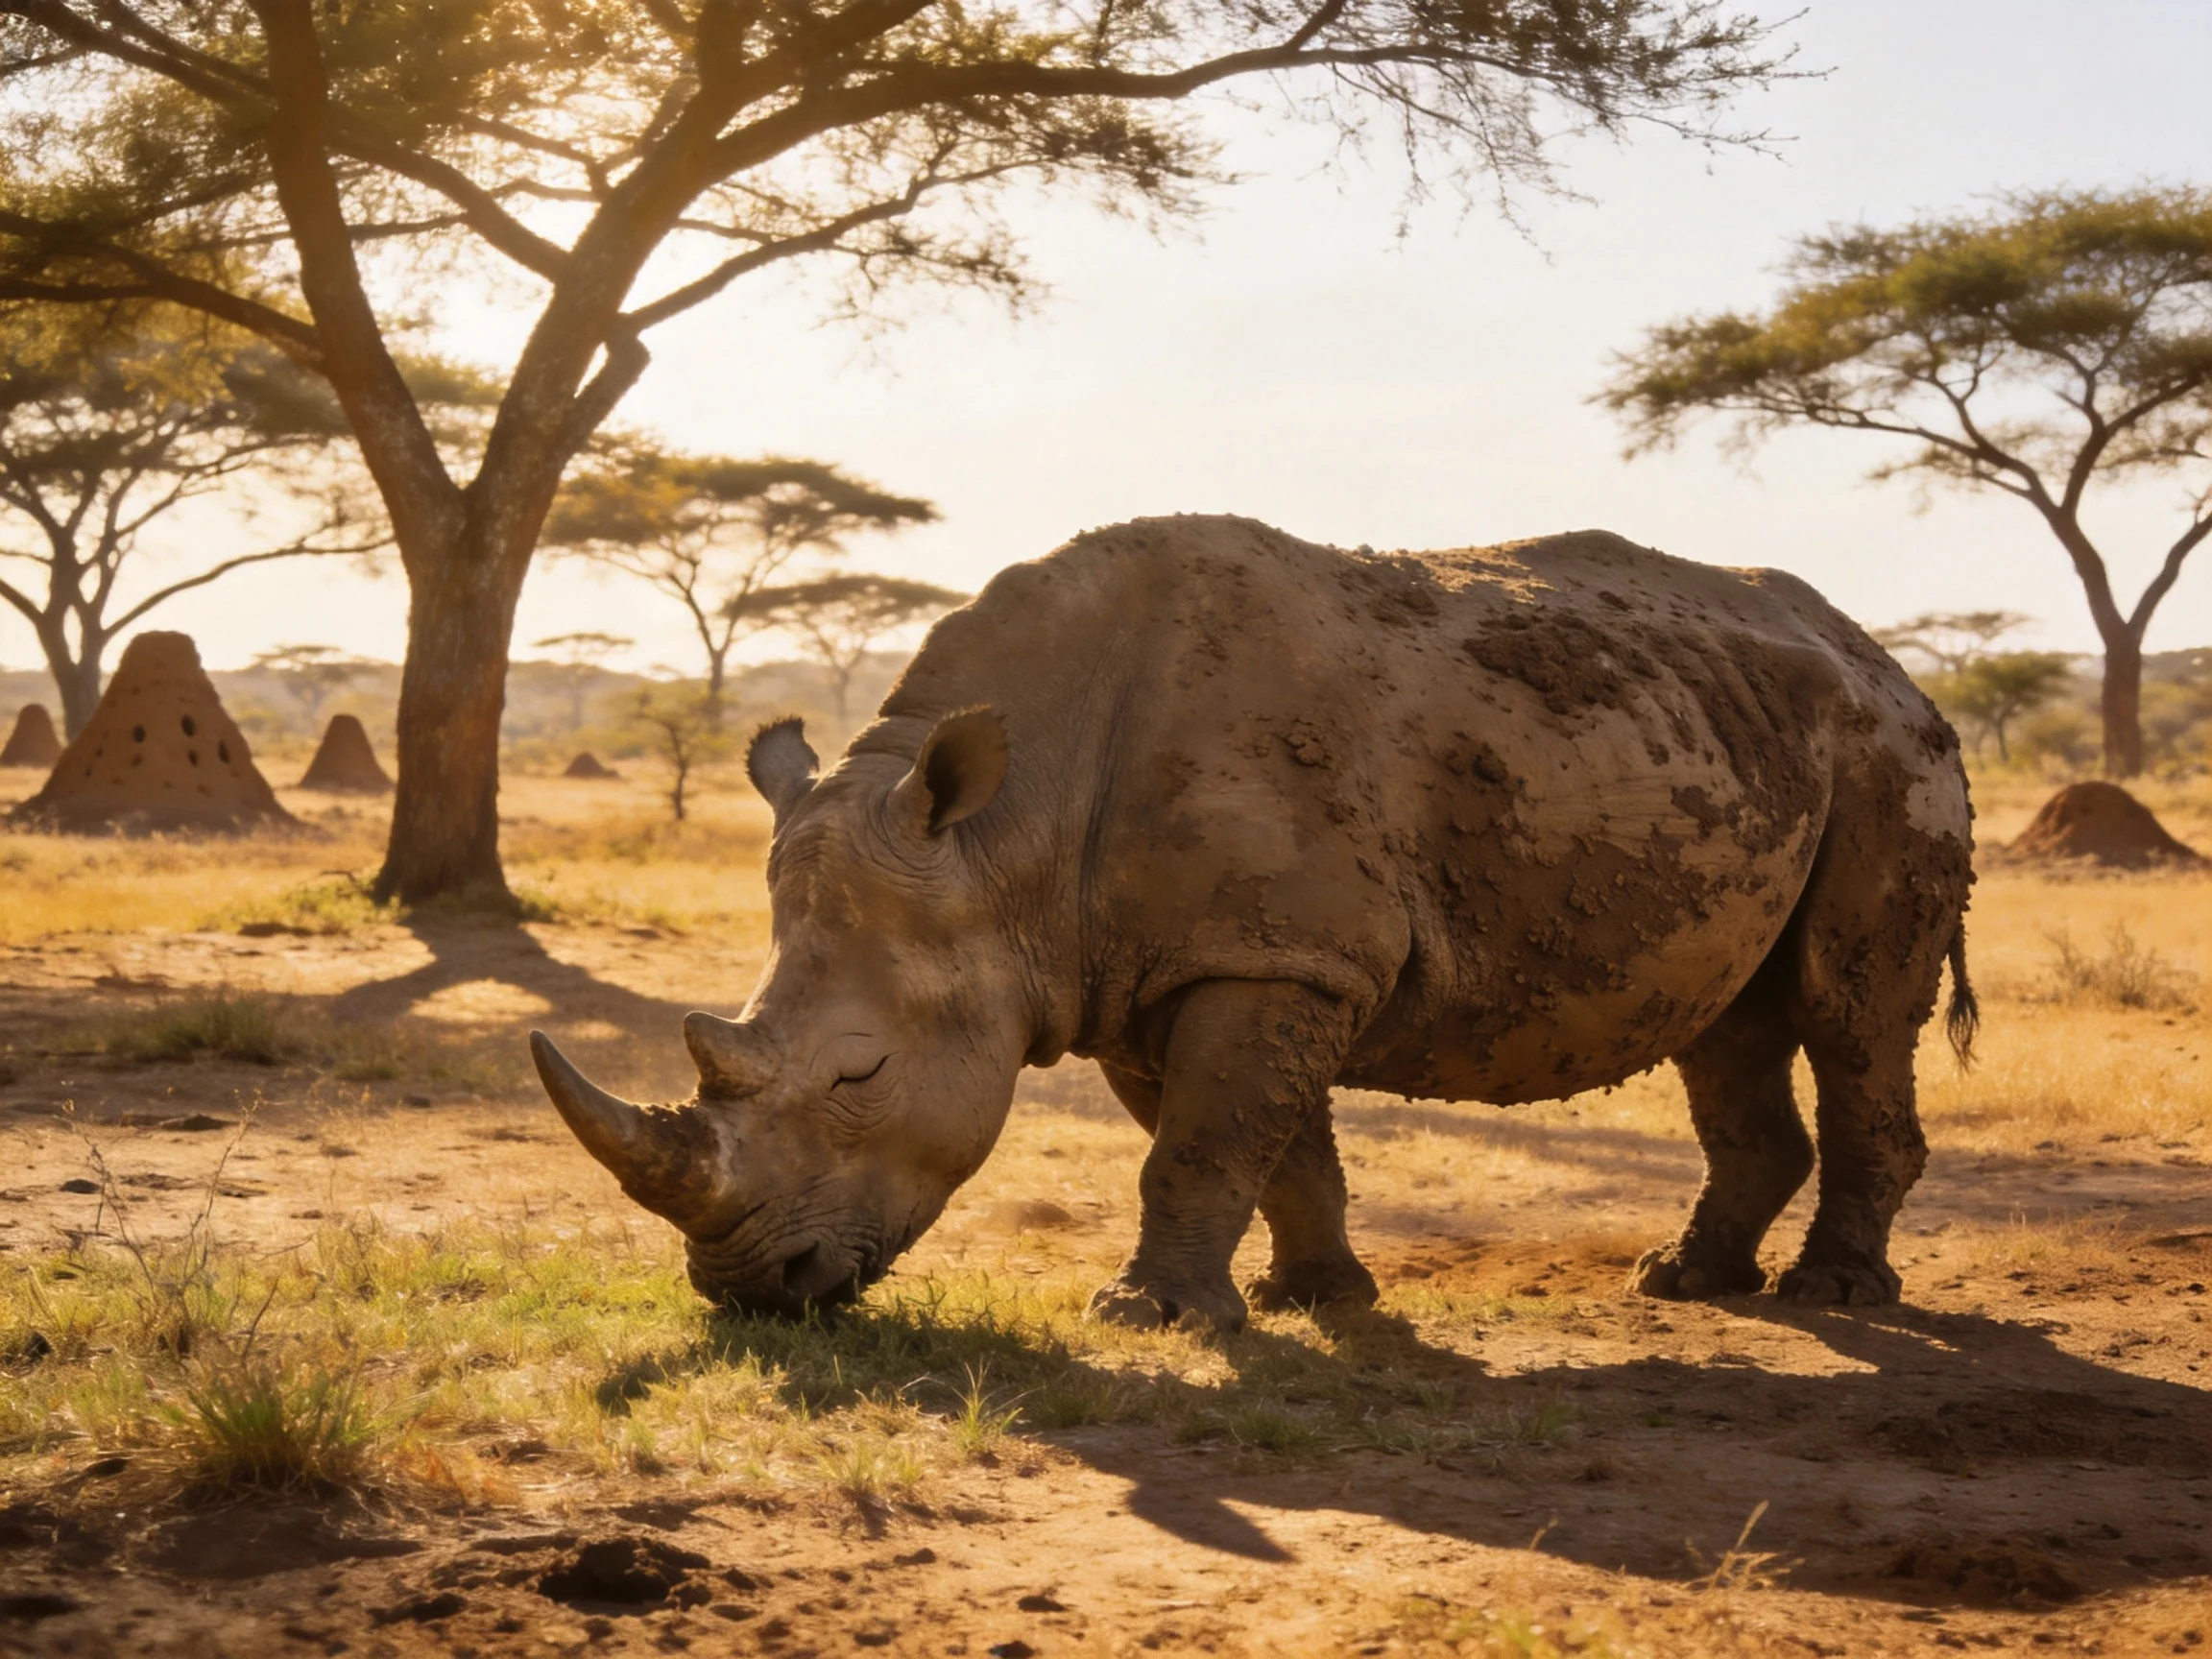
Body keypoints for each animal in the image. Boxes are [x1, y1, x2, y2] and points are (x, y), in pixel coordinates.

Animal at [532, 515, 1976, 1332]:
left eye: (861, 1074)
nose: (751, 1293)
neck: (1003, 837)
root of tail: (1889, 660)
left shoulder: (1271, 956)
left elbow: (1204, 1145)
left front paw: (1149, 1320)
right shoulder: (1144, 964)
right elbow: (1270, 1148)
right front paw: (1309, 1300)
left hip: (1889, 756)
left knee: (1851, 1010)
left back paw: (1833, 1296)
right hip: (1738, 741)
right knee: (1727, 1021)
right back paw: (1681, 1284)